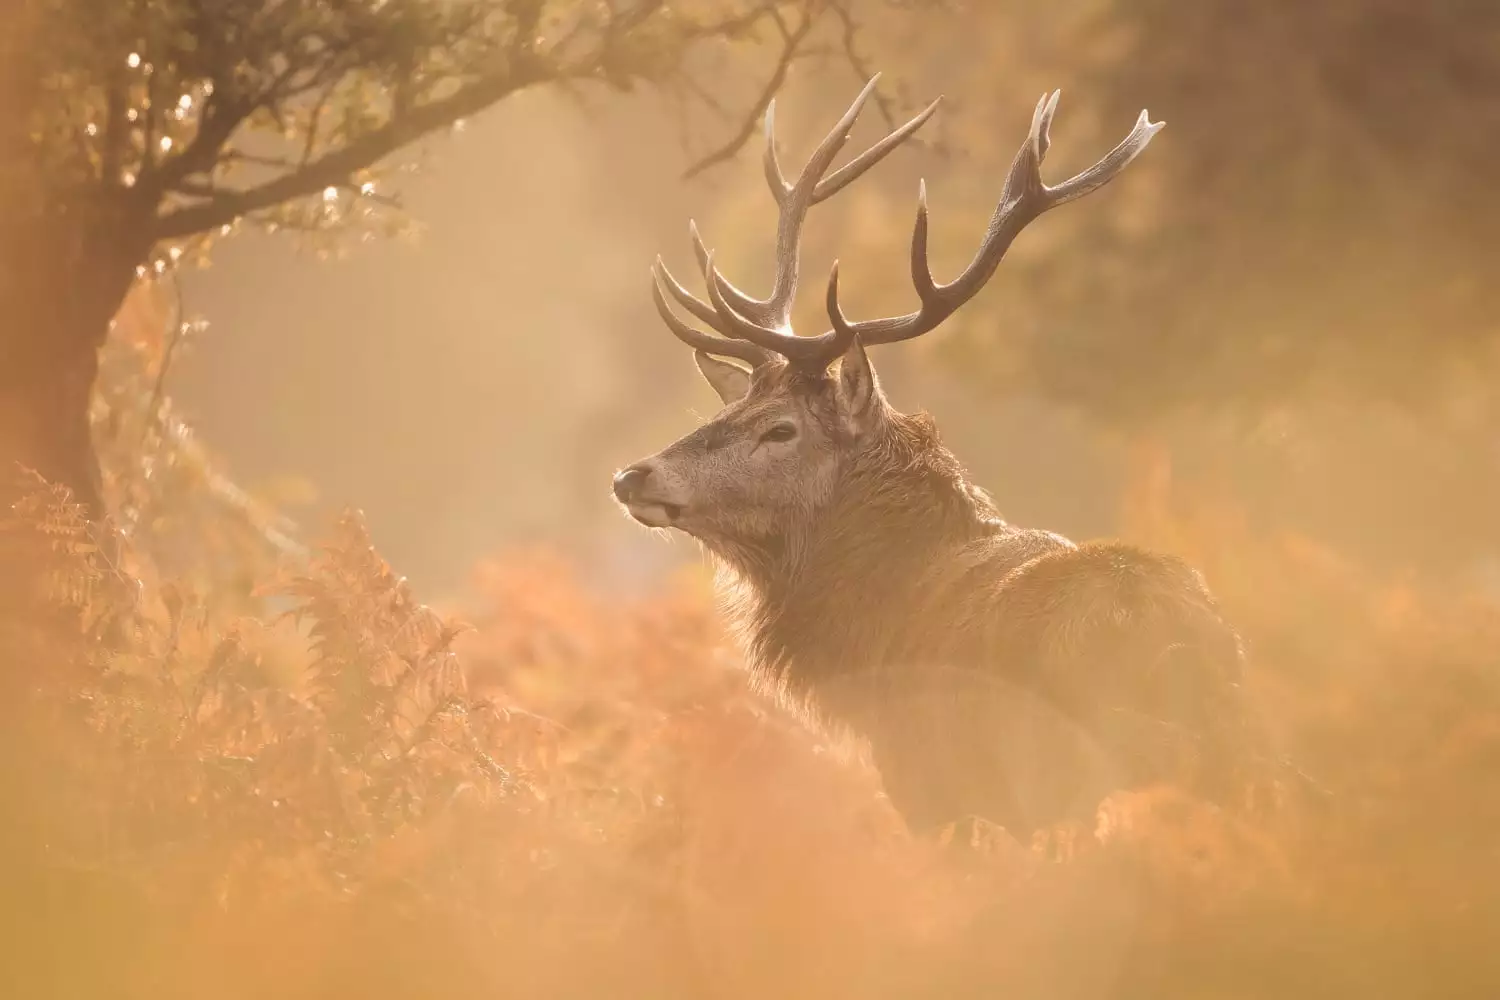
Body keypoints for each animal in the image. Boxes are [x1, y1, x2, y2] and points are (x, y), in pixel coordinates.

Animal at [612, 76, 1270, 839]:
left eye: (780, 430)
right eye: (725, 411)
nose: (633, 475)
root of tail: (1171, 642)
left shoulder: (926, 783)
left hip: (1063, 771)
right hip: (1236, 760)